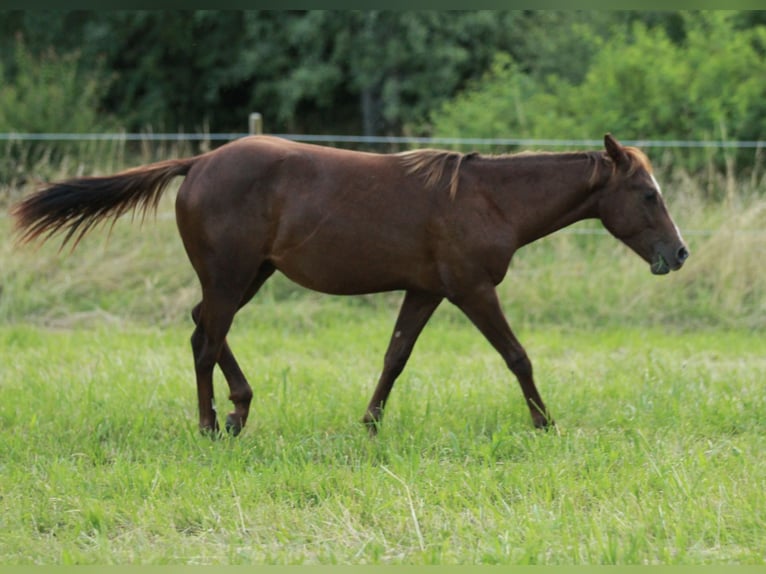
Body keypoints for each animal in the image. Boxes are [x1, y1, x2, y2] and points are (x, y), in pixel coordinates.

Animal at [10, 134, 688, 436]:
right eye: (647, 194)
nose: (678, 254)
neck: (488, 200)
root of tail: (197, 163)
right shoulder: (471, 289)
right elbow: (517, 355)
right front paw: (544, 423)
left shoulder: (426, 290)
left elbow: (395, 356)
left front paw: (369, 423)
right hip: (232, 274)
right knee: (206, 339)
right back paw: (210, 424)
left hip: (248, 274)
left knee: (203, 327)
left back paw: (238, 408)